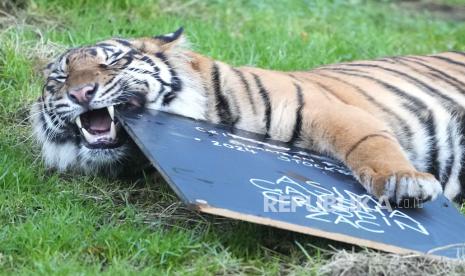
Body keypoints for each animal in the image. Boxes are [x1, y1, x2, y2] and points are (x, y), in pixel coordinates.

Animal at [30, 28, 464, 205]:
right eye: (60, 77)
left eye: (113, 63)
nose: (80, 93)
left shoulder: (335, 112)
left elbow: (370, 146)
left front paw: (404, 183)